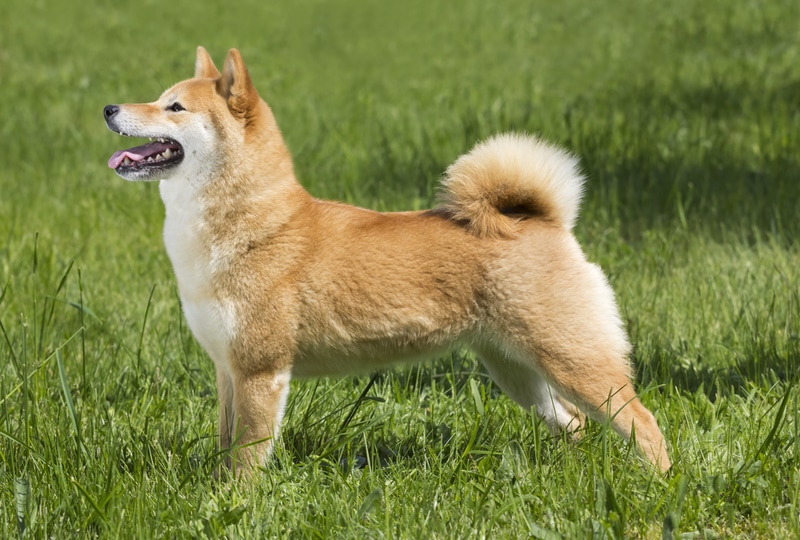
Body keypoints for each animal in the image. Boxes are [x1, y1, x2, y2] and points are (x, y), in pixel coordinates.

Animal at [104, 48, 668, 474]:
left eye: (174, 107)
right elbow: (225, 446)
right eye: (158, 99)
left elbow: (246, 457)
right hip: (515, 371)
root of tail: (542, 220)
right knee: (573, 423)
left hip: (573, 362)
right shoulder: (228, 370)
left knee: (644, 424)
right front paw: (214, 489)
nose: (109, 108)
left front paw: (236, 503)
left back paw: (657, 484)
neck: (245, 225)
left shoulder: (260, 372)